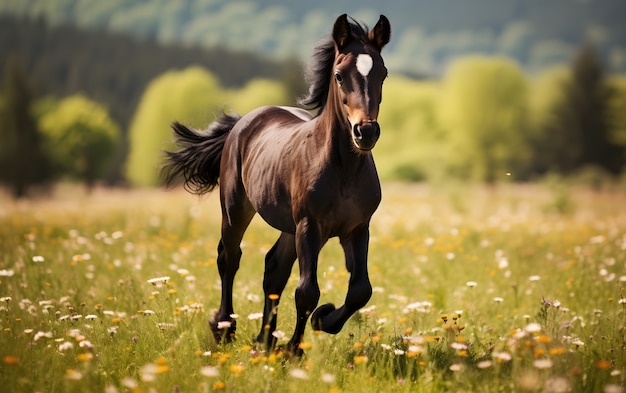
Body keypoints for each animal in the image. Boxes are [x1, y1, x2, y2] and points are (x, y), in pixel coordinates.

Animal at [163, 13, 392, 354]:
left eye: (383, 73)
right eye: (339, 75)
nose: (365, 132)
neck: (344, 170)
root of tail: (243, 122)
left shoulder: (357, 228)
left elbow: (360, 290)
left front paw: (323, 320)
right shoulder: (310, 226)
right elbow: (307, 291)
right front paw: (294, 350)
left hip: (289, 227)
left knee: (274, 269)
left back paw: (265, 339)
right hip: (236, 210)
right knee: (229, 258)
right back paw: (225, 328)